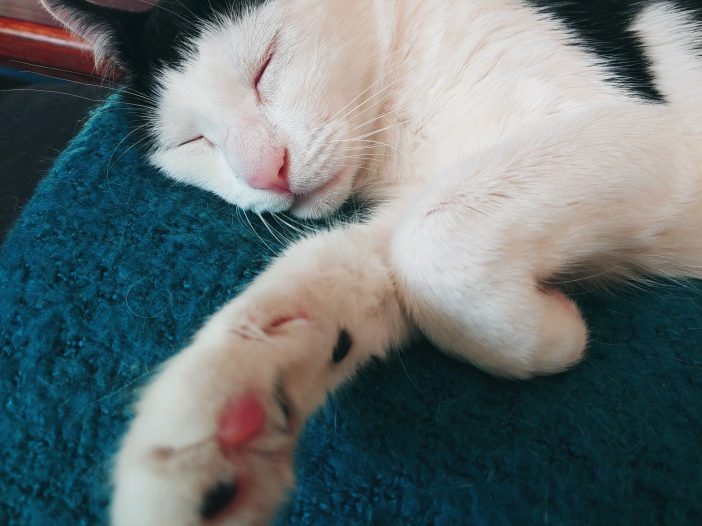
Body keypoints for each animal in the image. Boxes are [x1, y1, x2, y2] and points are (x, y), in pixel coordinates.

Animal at [42, 1, 702, 526]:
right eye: (194, 142)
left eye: (263, 66)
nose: (266, 172)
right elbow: (351, 265)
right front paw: (225, 416)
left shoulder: (650, 134)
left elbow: (433, 240)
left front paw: (556, 331)